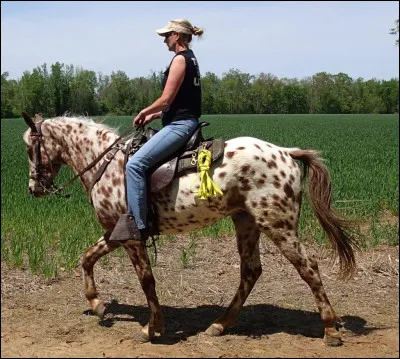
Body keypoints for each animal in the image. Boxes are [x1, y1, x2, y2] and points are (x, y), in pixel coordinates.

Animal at [21, 112, 360, 346]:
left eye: (28, 148)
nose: (33, 189)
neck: (106, 164)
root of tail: (287, 152)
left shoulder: (131, 239)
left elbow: (146, 280)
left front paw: (152, 328)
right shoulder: (116, 233)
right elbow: (87, 258)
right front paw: (97, 304)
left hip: (277, 224)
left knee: (309, 268)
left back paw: (330, 330)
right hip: (246, 222)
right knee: (250, 271)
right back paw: (220, 324)